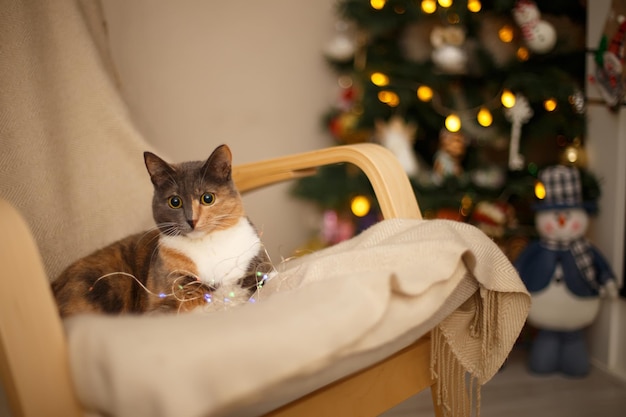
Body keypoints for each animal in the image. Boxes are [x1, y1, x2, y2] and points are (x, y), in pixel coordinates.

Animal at [50, 144, 270, 316]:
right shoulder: (165, 291)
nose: (192, 220)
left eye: (208, 198)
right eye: (175, 201)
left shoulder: (257, 262)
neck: (208, 245)